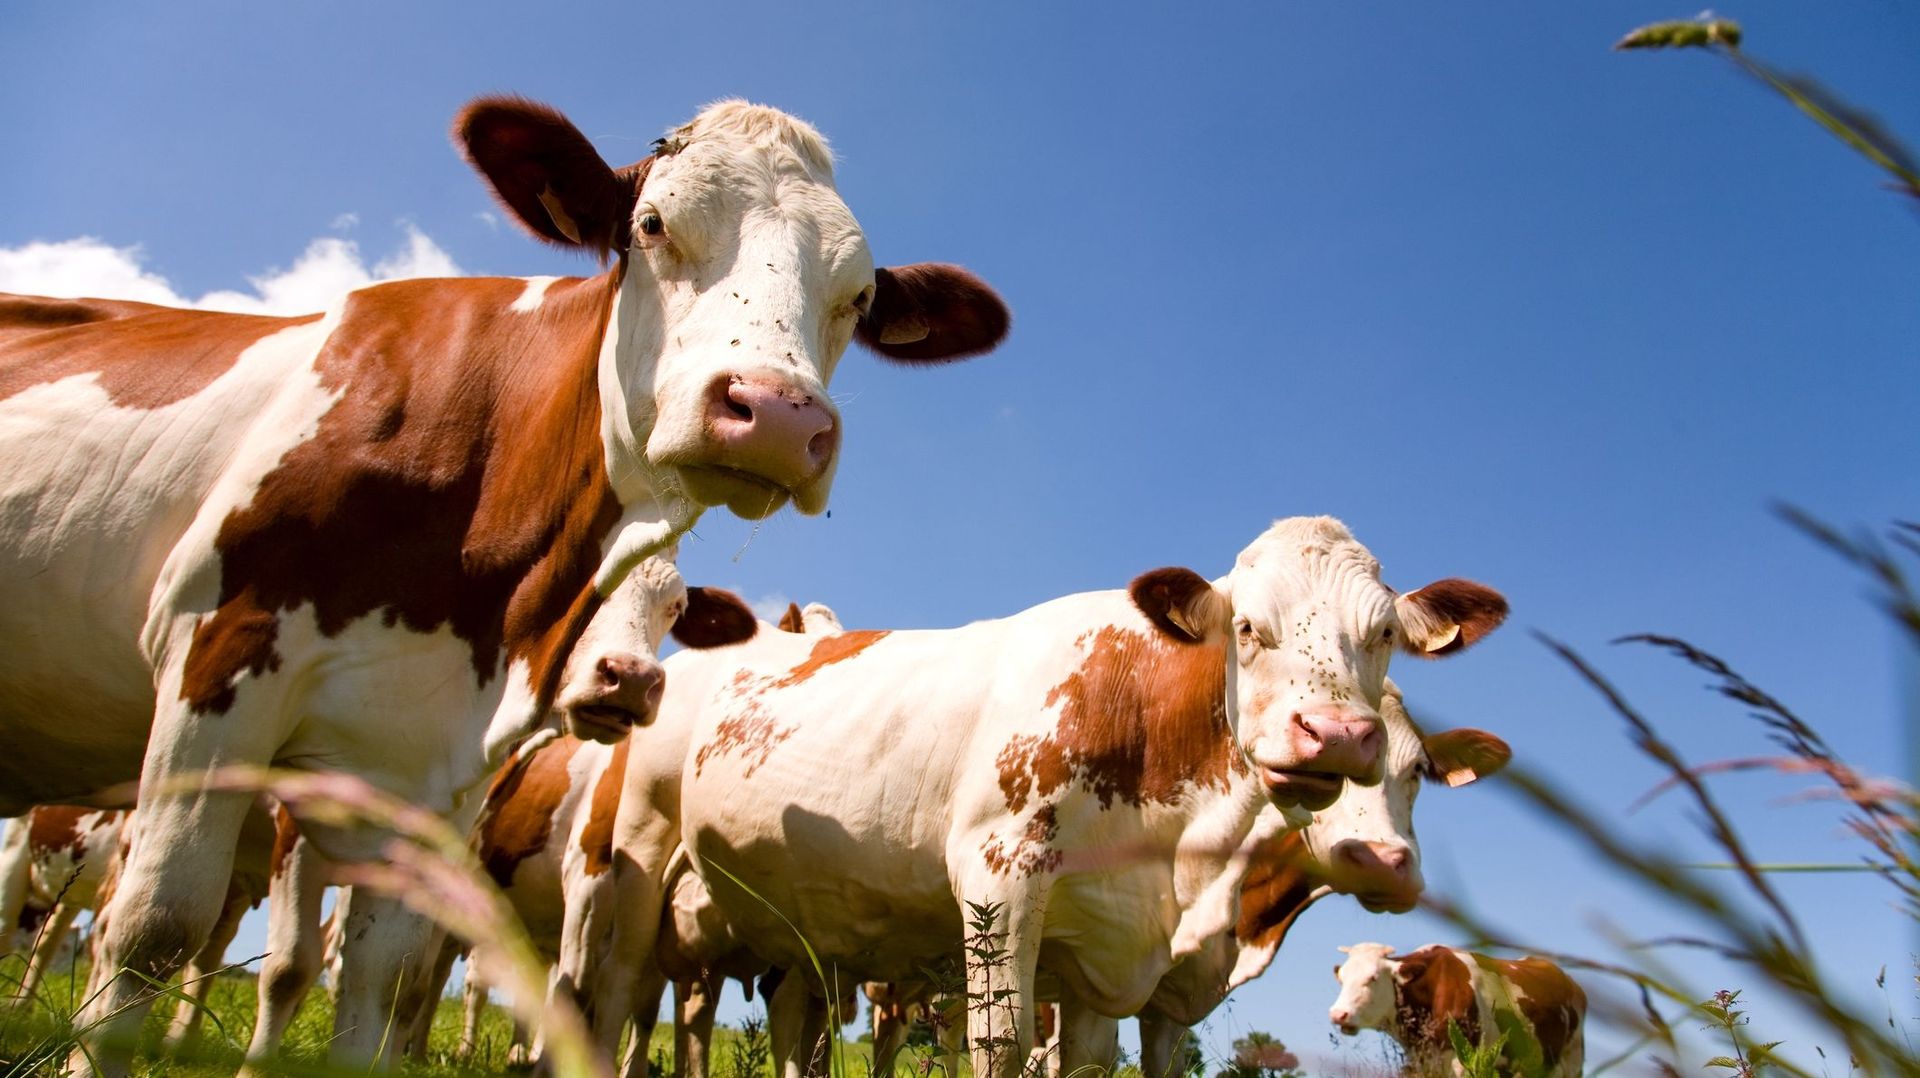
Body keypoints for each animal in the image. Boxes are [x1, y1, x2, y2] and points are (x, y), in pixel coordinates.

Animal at [0, 94, 1006, 1073]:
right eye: (651, 224)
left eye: (859, 295)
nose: (776, 416)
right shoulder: (219, 660)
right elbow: (159, 933)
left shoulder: (425, 777)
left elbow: (379, 982)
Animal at [593, 516, 1508, 1078]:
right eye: (1248, 628)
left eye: (1383, 634)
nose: (1337, 736)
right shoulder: (999, 876)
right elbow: (1001, 1046)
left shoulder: (1101, 952)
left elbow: (1094, 1061)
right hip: (633, 851)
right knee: (615, 989)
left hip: (807, 930)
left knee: (790, 1019)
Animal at [1330, 943, 1587, 1077]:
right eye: (1342, 978)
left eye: (1372, 978)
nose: (1337, 1014)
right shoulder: (1422, 1063)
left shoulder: (1464, 1061)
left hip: (1571, 1060)